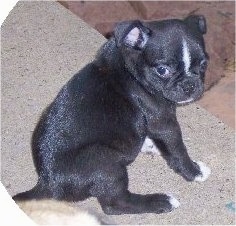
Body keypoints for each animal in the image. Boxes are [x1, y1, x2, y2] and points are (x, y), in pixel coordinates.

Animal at [13, 15, 211, 214]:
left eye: (204, 64)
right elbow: (178, 149)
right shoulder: (163, 122)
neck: (130, 69)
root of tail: (47, 182)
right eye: (162, 70)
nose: (189, 85)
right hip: (106, 163)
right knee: (115, 204)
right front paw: (194, 171)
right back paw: (161, 201)